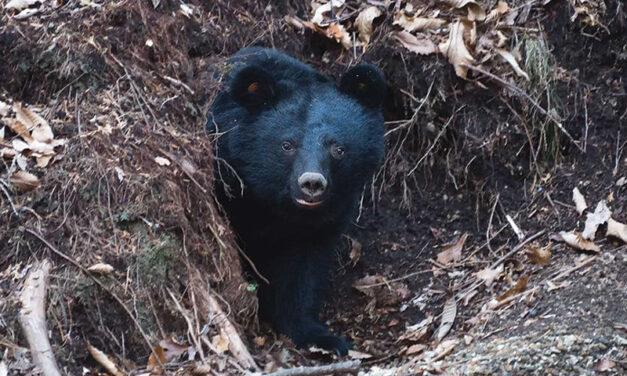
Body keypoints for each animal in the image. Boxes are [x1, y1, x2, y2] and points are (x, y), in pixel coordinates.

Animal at [209, 47, 386, 356]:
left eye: (338, 148)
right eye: (287, 145)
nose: (312, 184)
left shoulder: (324, 218)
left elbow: (301, 271)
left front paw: (319, 336)